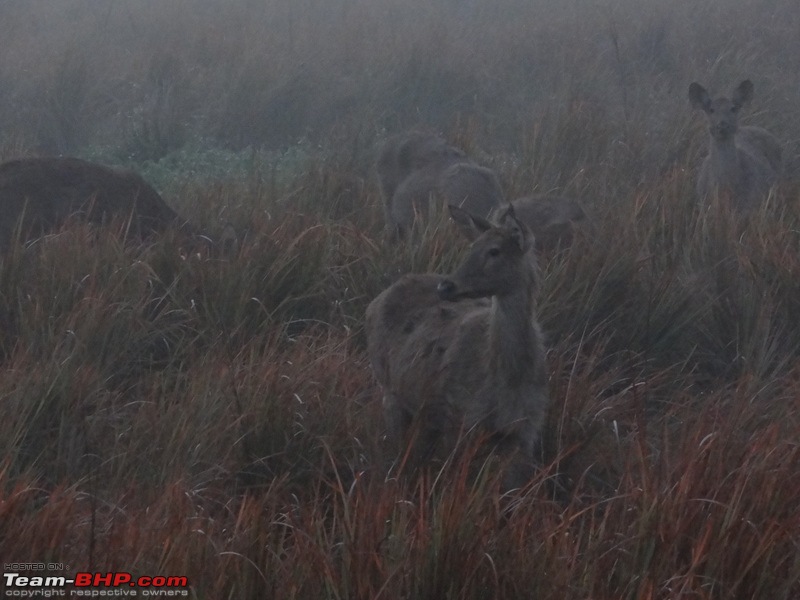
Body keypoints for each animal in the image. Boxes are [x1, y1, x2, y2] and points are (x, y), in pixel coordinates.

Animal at [368, 204, 552, 490]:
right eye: (472, 246)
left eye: (494, 251)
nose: (446, 286)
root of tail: (373, 303)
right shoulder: (461, 418)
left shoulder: (525, 429)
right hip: (389, 389)